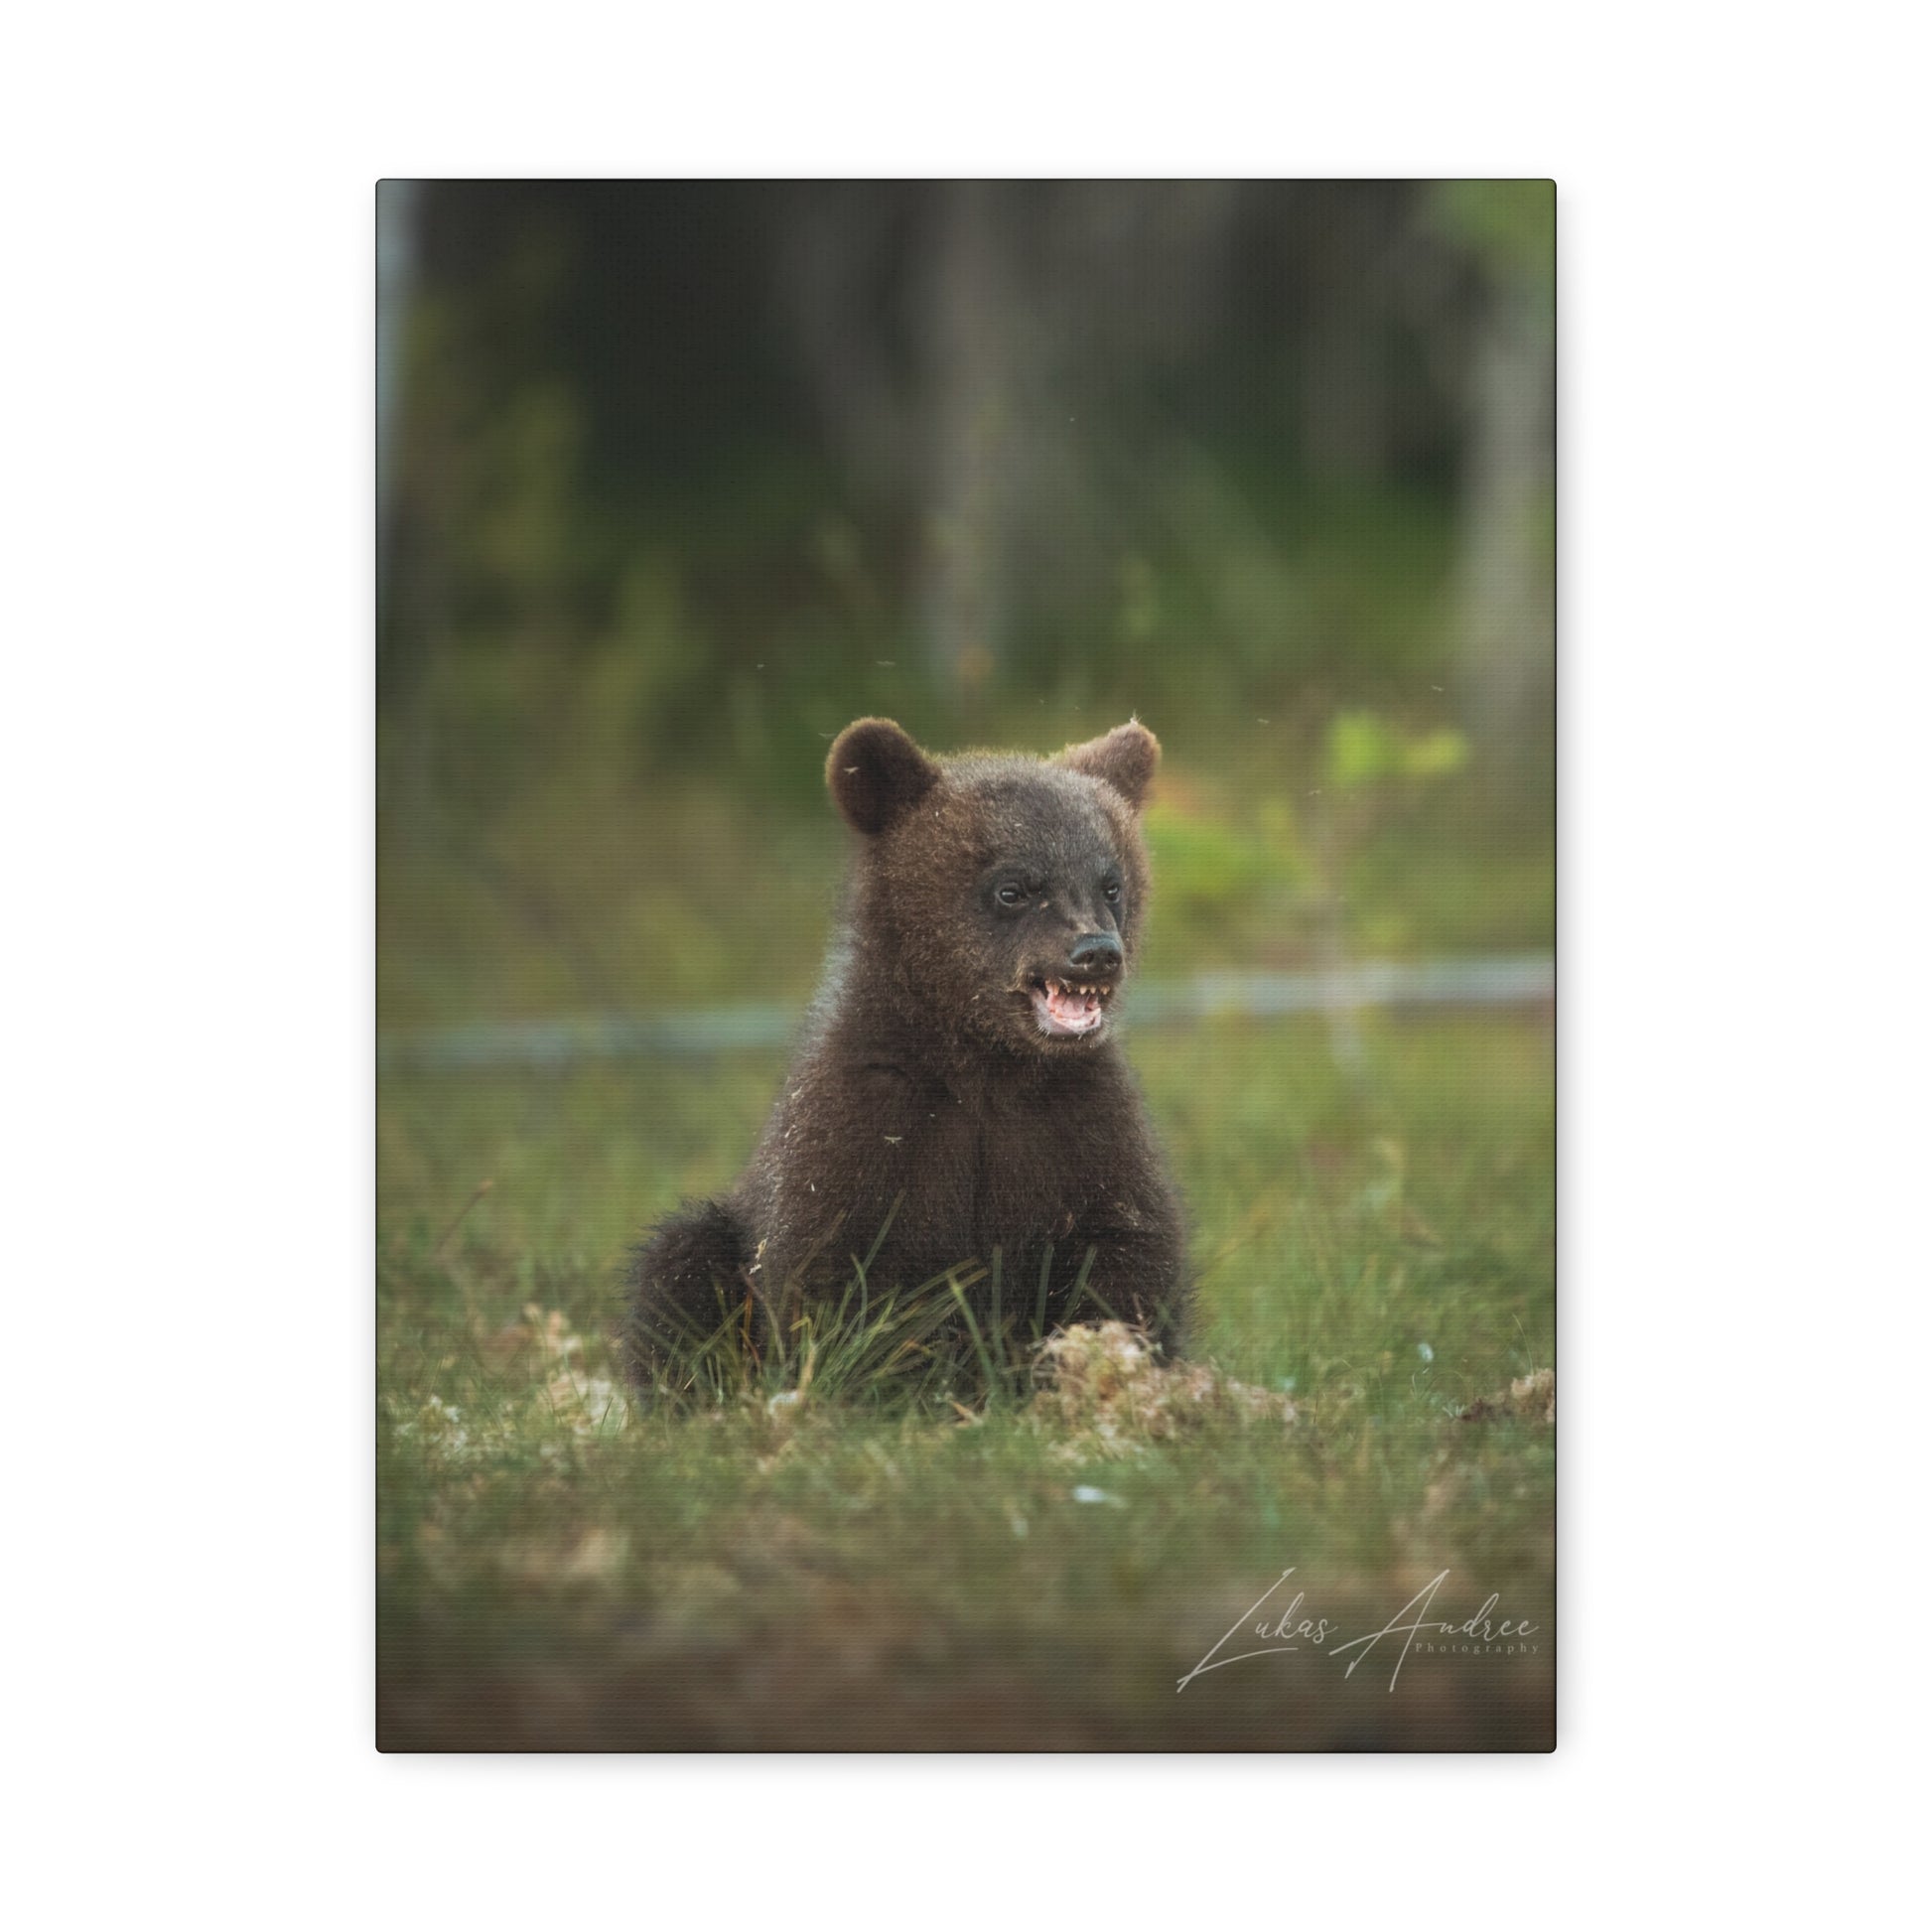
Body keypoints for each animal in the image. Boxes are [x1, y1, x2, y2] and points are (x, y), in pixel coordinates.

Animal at [622, 716, 1189, 1393]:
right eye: (1013, 888)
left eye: (1112, 883)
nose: (1096, 952)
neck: (985, 1066)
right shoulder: (868, 1123)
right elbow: (836, 1273)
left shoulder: (1076, 1125)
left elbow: (1125, 1253)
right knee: (678, 1265)